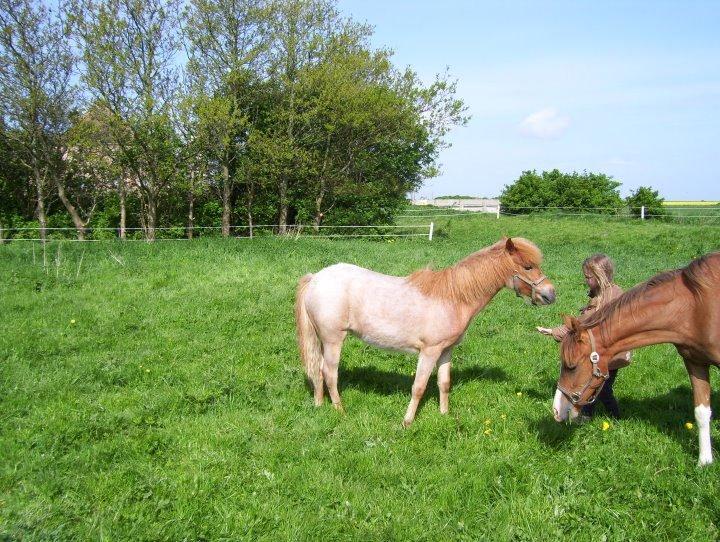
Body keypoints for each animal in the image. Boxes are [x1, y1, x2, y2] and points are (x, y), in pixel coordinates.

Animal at [294, 240, 556, 428]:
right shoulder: (429, 351)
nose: (550, 294)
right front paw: (407, 422)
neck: (454, 297)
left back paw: (319, 405)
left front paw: (444, 415)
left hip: (322, 340)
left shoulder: (446, 351)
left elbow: (444, 383)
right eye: (528, 266)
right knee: (329, 373)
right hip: (334, 340)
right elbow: (418, 387)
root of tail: (316, 278)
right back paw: (340, 411)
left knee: (317, 370)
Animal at [556, 254, 716, 468]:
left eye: (572, 367)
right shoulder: (695, 362)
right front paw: (704, 461)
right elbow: (701, 412)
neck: (694, 307)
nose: (556, 410)